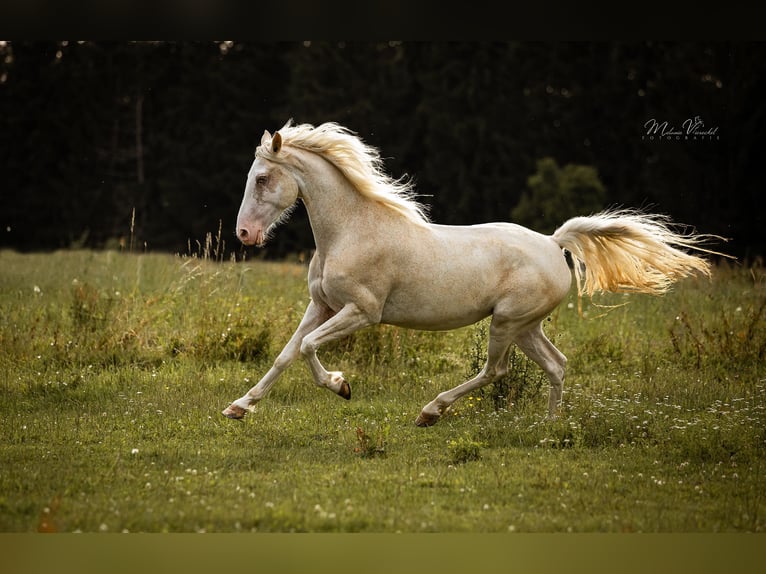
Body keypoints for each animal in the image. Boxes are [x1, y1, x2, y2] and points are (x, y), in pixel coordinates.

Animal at [222, 120, 726, 426]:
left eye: (262, 178)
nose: (244, 233)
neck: (351, 230)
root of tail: (553, 243)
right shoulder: (322, 305)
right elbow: (286, 354)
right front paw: (239, 407)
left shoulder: (362, 311)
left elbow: (307, 348)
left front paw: (341, 386)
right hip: (526, 326)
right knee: (556, 364)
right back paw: (549, 426)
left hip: (506, 322)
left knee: (496, 370)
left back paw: (431, 412)